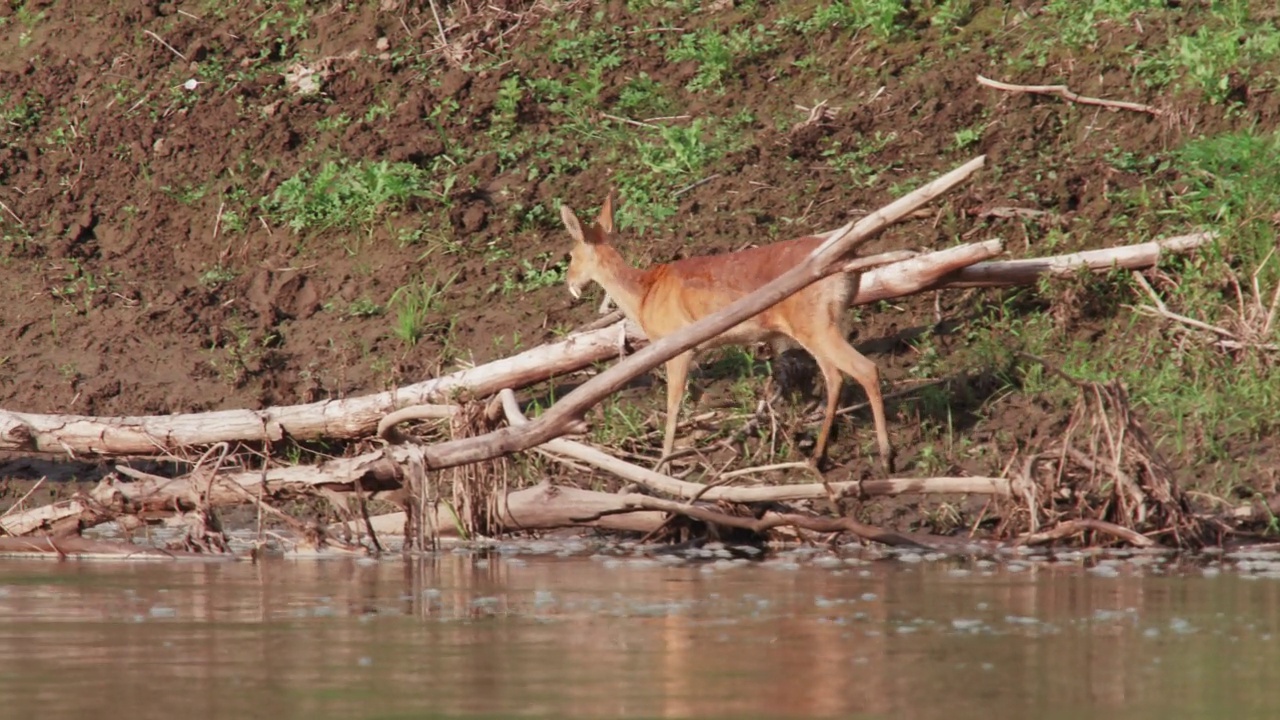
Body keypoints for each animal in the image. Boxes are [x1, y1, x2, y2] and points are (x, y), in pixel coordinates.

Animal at [560, 190, 890, 471]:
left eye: (571, 256)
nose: (570, 284)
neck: (645, 296)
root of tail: (849, 266)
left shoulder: (676, 346)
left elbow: (673, 407)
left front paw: (663, 466)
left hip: (815, 323)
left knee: (865, 368)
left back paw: (886, 457)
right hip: (818, 324)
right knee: (836, 376)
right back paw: (819, 455)